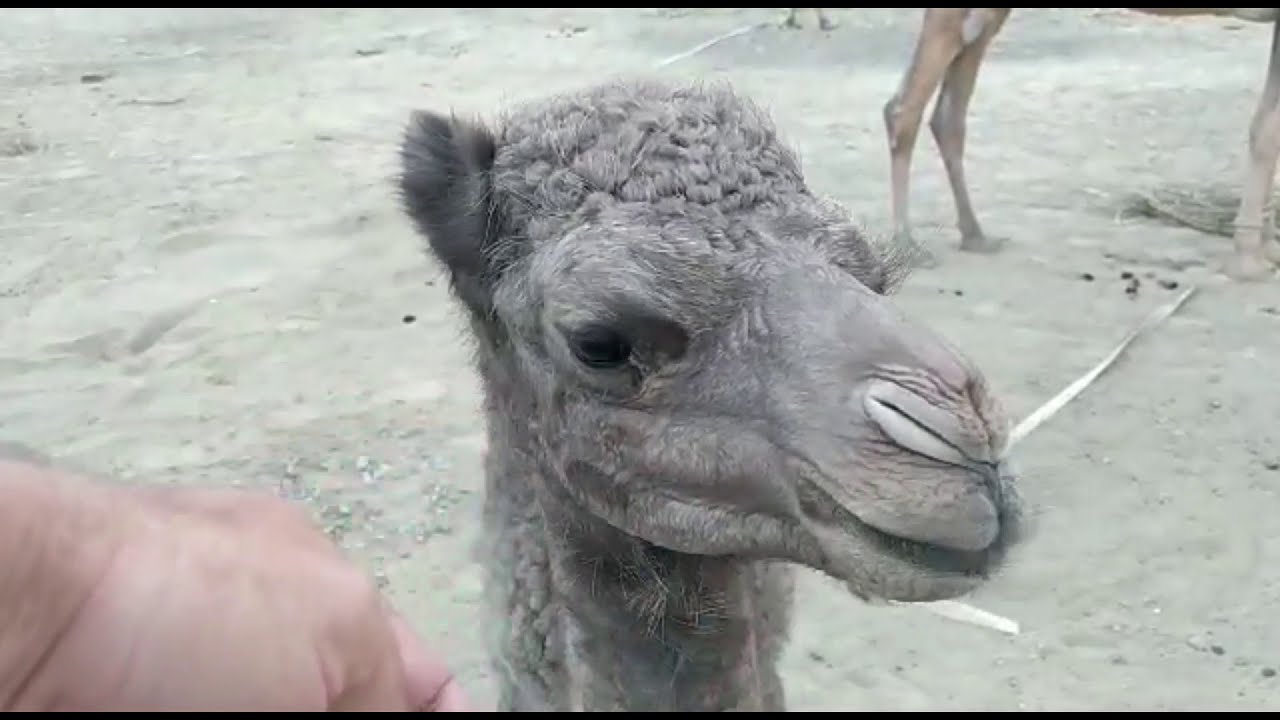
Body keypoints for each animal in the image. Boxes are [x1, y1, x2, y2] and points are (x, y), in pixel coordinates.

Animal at [882, 8, 1280, 280]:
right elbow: (1268, 129)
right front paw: (1249, 261)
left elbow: (1266, 127)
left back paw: (975, 235)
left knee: (947, 114)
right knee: (904, 108)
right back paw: (906, 244)